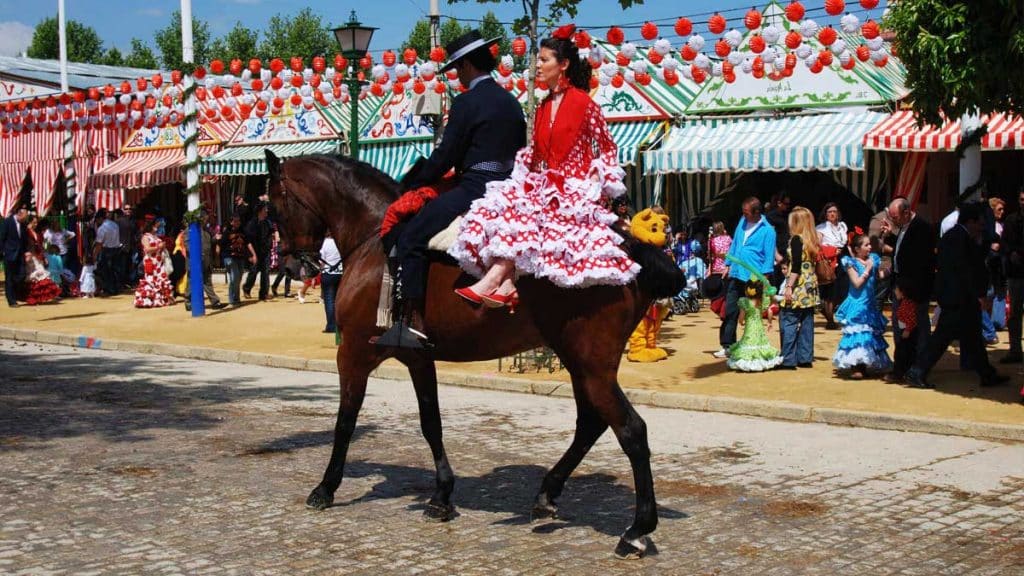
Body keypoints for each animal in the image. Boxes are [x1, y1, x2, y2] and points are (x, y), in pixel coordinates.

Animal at [264, 148, 684, 557]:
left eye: (274, 207)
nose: (290, 263)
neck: (373, 239)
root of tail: (631, 247)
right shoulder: (417, 356)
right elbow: (430, 423)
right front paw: (441, 496)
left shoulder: (353, 353)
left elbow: (345, 423)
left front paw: (325, 488)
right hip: (580, 362)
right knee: (591, 424)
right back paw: (548, 494)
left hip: (590, 365)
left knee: (631, 431)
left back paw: (636, 530)